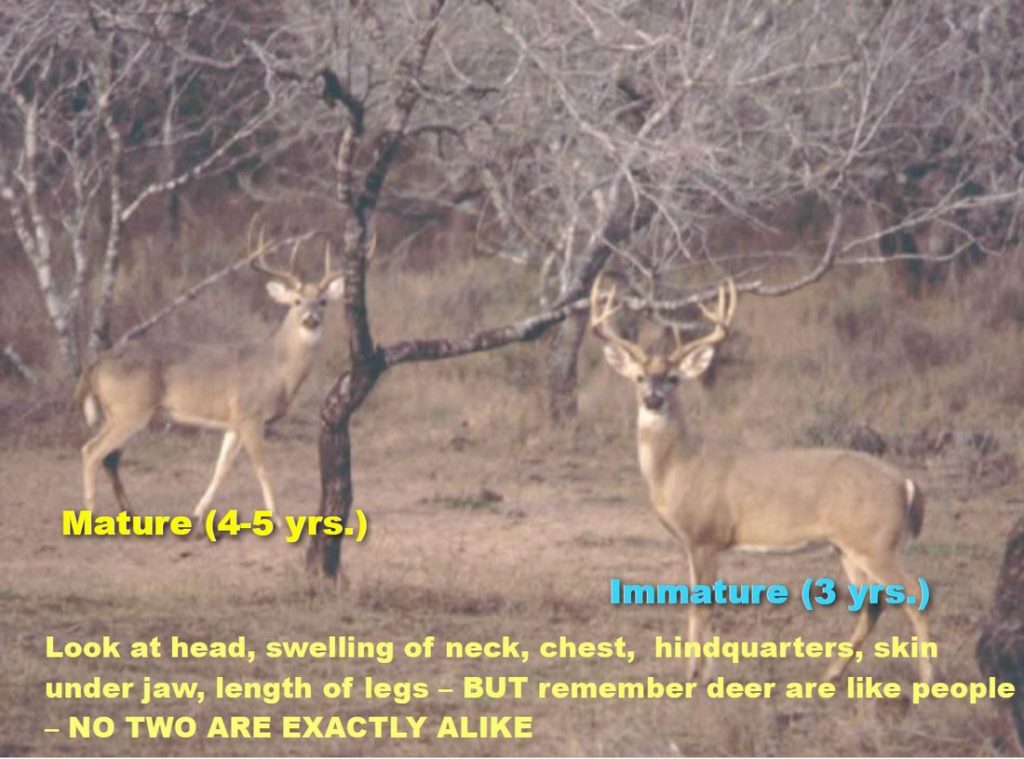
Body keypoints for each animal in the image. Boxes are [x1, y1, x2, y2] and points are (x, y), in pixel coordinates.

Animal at [74, 226, 348, 527]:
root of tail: (96, 364)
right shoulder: (250, 414)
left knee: (108, 457)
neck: (276, 369)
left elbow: (221, 468)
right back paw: (91, 514)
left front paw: (197, 512)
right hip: (131, 410)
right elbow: (261, 467)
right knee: (91, 451)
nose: (311, 319)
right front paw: (277, 518)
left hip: (118, 412)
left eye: (323, 301)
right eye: (297, 301)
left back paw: (131, 512)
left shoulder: (233, 422)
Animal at [590, 275, 933, 684]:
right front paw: (698, 670)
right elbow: (695, 601)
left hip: (876, 541)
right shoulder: (691, 542)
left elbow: (702, 606)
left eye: (673, 378)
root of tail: (905, 483)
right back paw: (831, 674)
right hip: (849, 546)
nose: (652, 398)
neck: (680, 466)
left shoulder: (708, 535)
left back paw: (928, 678)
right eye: (639, 377)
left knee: (914, 595)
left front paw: (698, 675)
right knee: (873, 605)